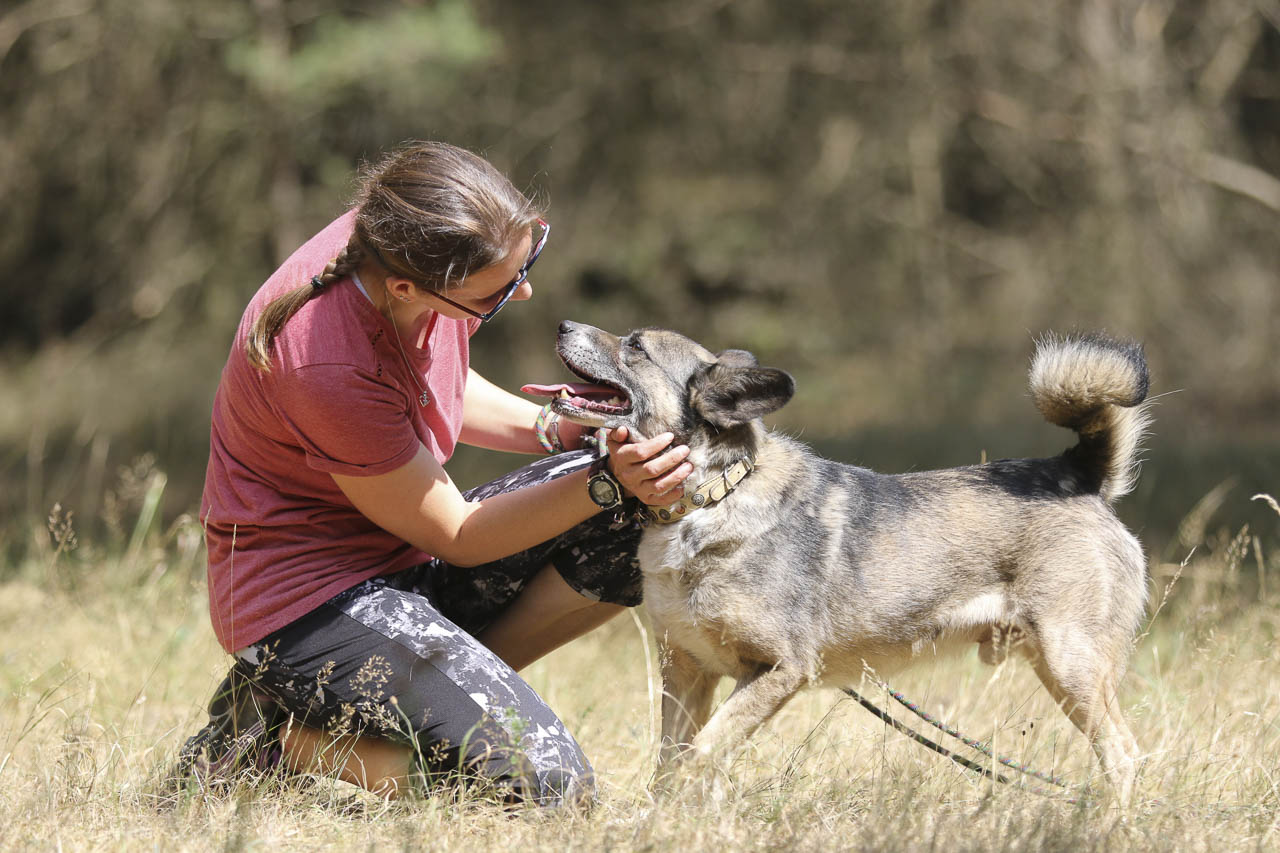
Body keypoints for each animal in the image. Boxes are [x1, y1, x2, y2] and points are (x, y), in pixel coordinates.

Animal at [531, 321, 1150, 803]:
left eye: (635, 347)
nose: (560, 324)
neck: (713, 497)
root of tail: (1077, 472)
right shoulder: (687, 672)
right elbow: (674, 762)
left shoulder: (780, 671)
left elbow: (699, 755)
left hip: (1070, 663)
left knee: (1123, 755)